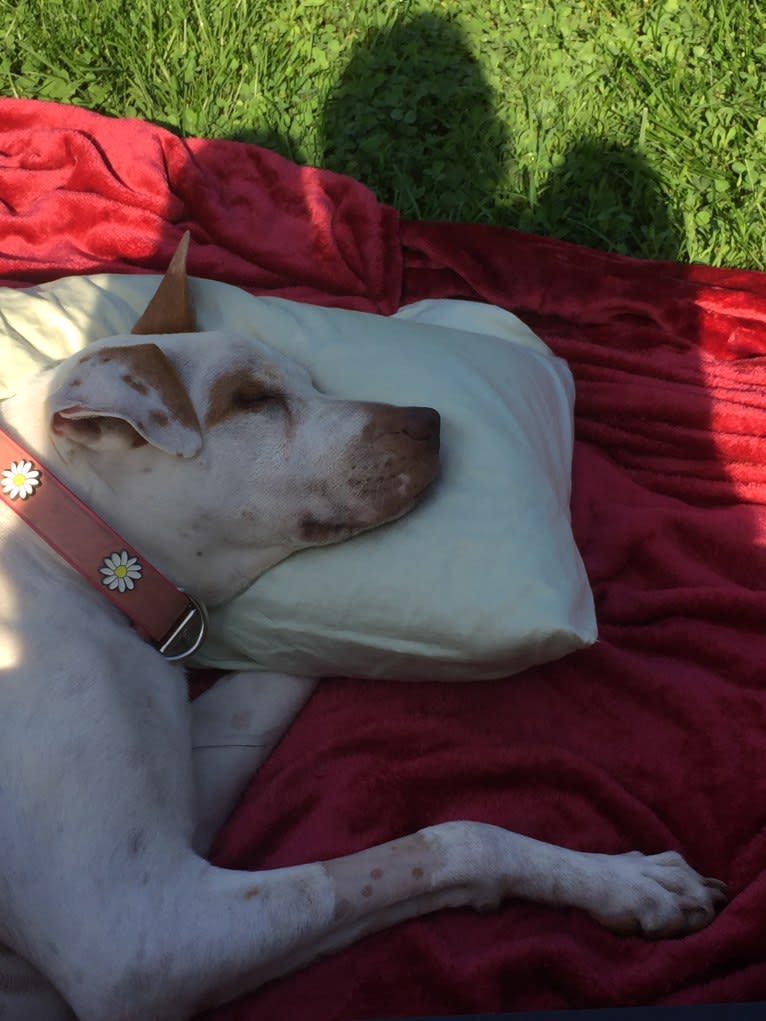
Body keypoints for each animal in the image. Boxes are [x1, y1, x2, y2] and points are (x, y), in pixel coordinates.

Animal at [0, 240, 727, 1021]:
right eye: (252, 400)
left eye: (309, 380)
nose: (430, 418)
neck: (68, 541)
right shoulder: (143, 934)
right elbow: (453, 839)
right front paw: (621, 881)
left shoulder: (189, 793)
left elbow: (278, 684)